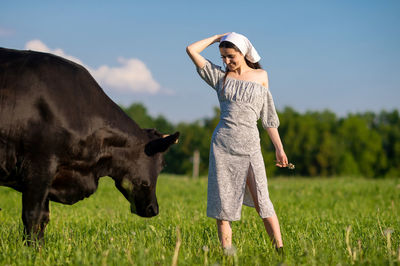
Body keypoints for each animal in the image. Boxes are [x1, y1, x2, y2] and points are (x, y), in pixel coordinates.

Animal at [0, 47, 178, 241]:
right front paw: (32, 248)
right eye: (161, 164)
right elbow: (34, 216)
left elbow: (44, 218)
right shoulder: (39, 164)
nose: (154, 209)